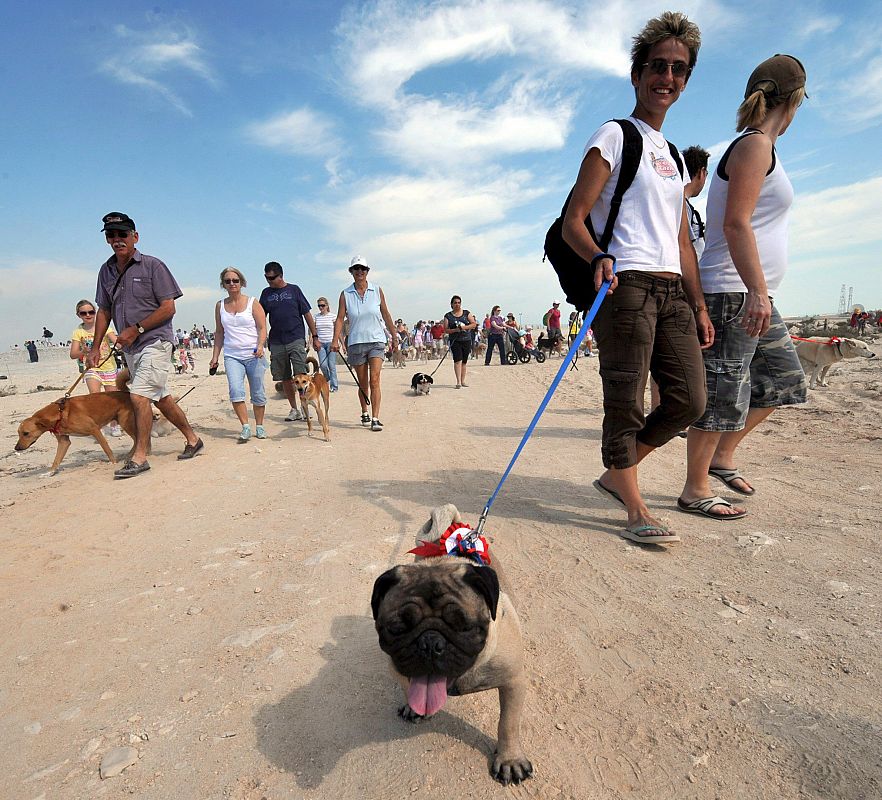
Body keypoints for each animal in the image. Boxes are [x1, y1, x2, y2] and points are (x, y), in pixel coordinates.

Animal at [370, 504, 528, 784]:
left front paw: (510, 759)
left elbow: (508, 724)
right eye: (397, 629)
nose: (430, 642)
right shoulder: (397, 669)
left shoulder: (513, 681)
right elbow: (409, 688)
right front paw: (415, 708)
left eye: (463, 626)